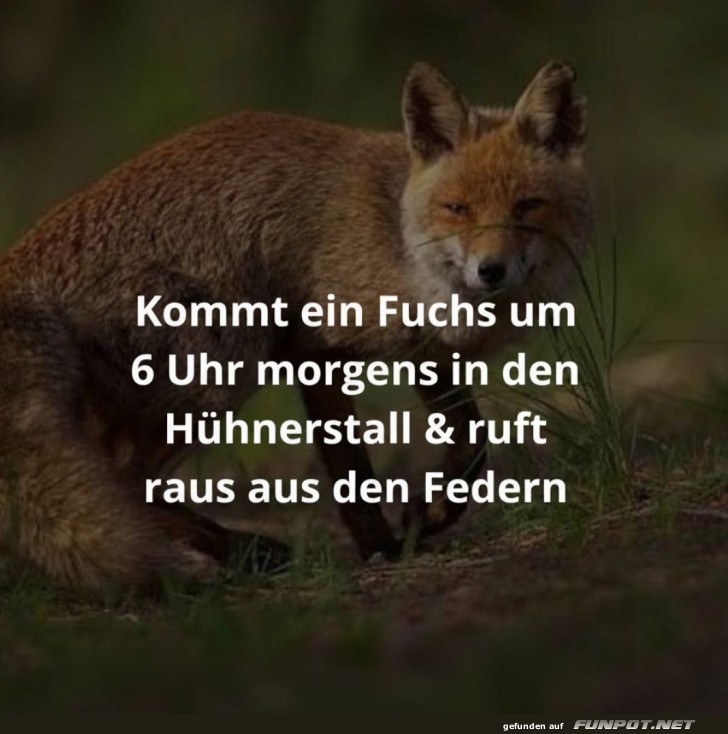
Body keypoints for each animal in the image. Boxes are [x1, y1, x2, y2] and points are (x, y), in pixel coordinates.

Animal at [0, 60, 593, 590]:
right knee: (124, 477)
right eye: (458, 208)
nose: (490, 271)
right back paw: (234, 550)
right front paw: (381, 547)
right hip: (225, 363)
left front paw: (431, 514)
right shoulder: (315, 347)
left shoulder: (430, 356)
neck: (400, 241)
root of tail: (17, 267)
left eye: (527, 207)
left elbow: (472, 446)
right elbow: (352, 471)